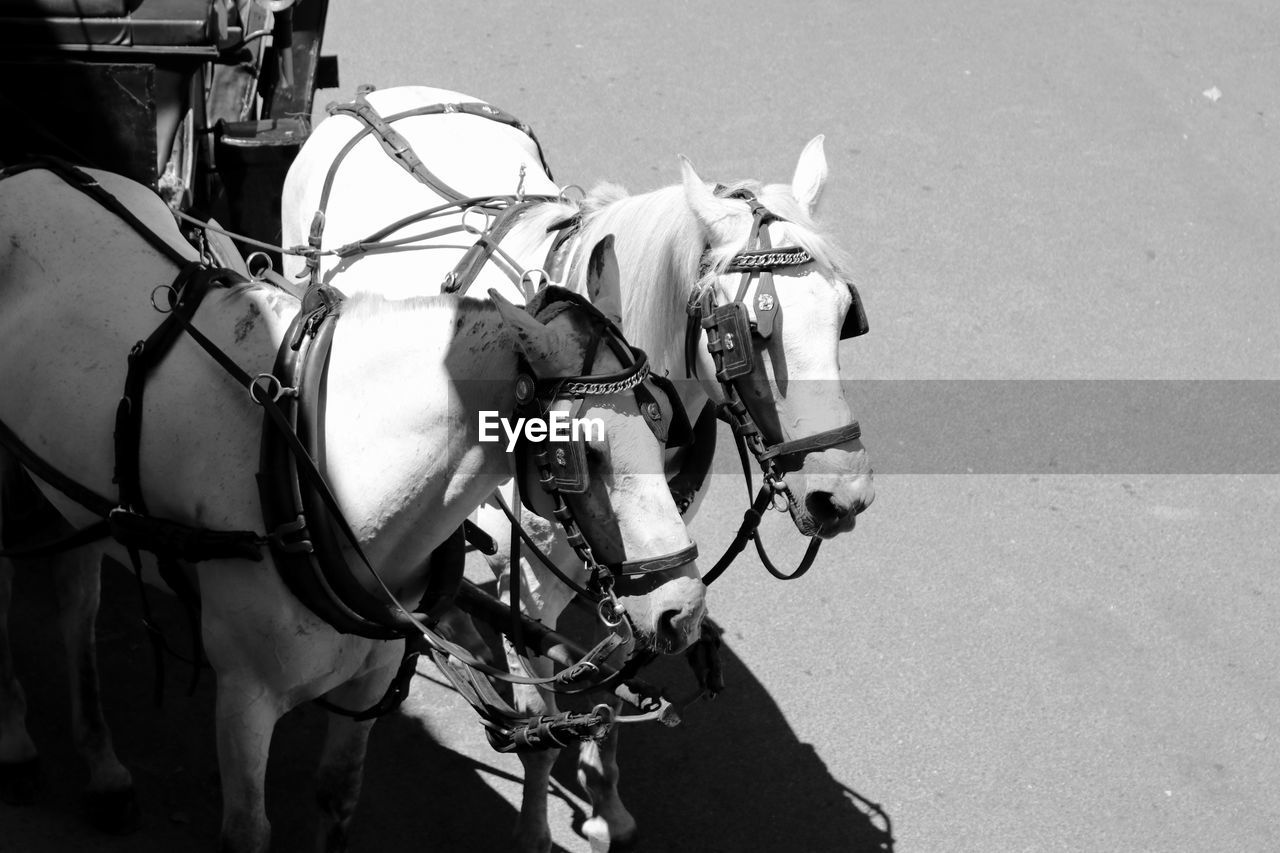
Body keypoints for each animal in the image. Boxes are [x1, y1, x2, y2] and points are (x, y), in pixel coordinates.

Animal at [0, 163, 701, 850]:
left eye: (661, 422)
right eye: (579, 455)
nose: (684, 611)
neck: (320, 474)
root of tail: (26, 173)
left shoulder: (371, 675)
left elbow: (338, 795)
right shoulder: (244, 695)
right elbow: (247, 832)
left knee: (76, 601)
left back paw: (102, 769)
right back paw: (21, 744)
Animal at [284, 84, 875, 845]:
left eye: (845, 314)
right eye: (746, 332)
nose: (843, 493)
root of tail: (381, 99)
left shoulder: (640, 562)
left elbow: (611, 675)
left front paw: (606, 802)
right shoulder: (534, 585)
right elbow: (547, 719)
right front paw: (539, 828)